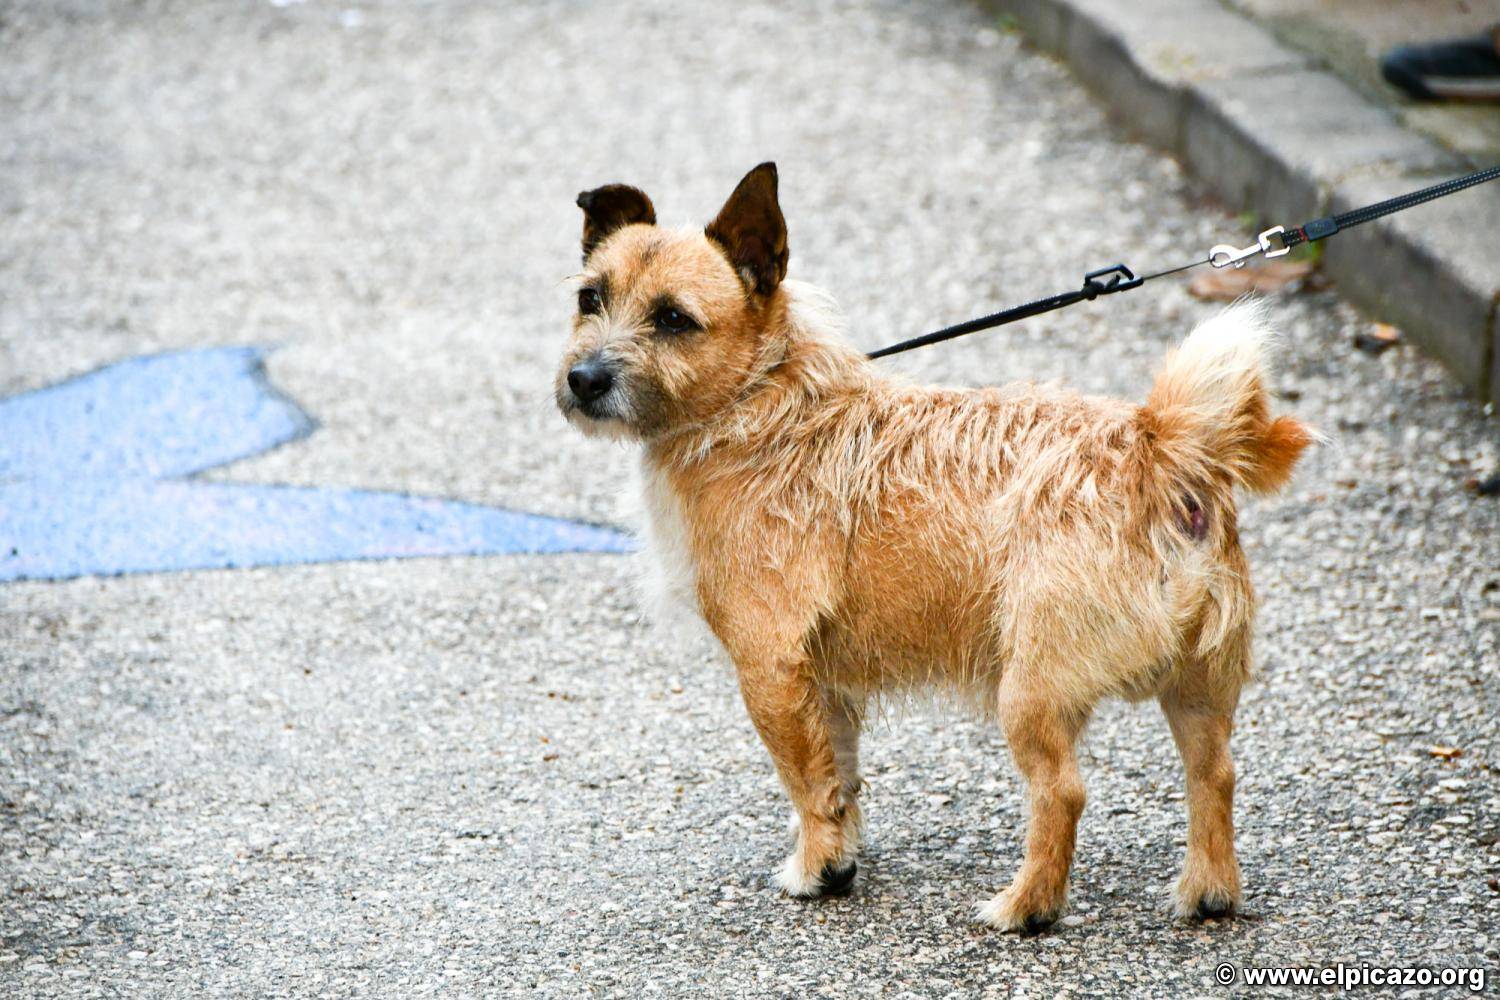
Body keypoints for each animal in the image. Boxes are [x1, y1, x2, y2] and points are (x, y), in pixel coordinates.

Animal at [554, 162, 1311, 933]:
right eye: (590, 298)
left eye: (673, 319)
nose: (584, 379)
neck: (757, 402)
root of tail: (1161, 447)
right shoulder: (823, 684)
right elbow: (839, 778)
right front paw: (840, 853)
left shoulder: (769, 667)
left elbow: (804, 780)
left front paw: (816, 868)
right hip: (1200, 687)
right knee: (1214, 773)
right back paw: (1208, 891)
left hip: (1029, 692)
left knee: (1063, 792)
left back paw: (1026, 906)